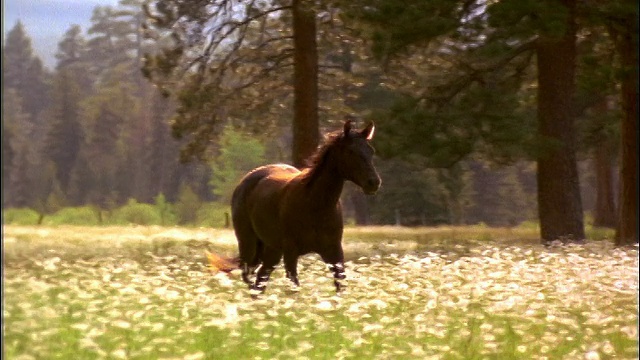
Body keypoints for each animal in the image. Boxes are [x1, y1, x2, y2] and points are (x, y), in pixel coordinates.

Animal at [230, 120, 380, 292]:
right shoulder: (291, 252)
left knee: (260, 281)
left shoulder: (333, 251)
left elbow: (340, 283)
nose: (373, 182)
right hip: (249, 244)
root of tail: (246, 180)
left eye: (371, 150)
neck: (315, 205)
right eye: (351, 151)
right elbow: (294, 286)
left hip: (272, 249)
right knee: (250, 278)